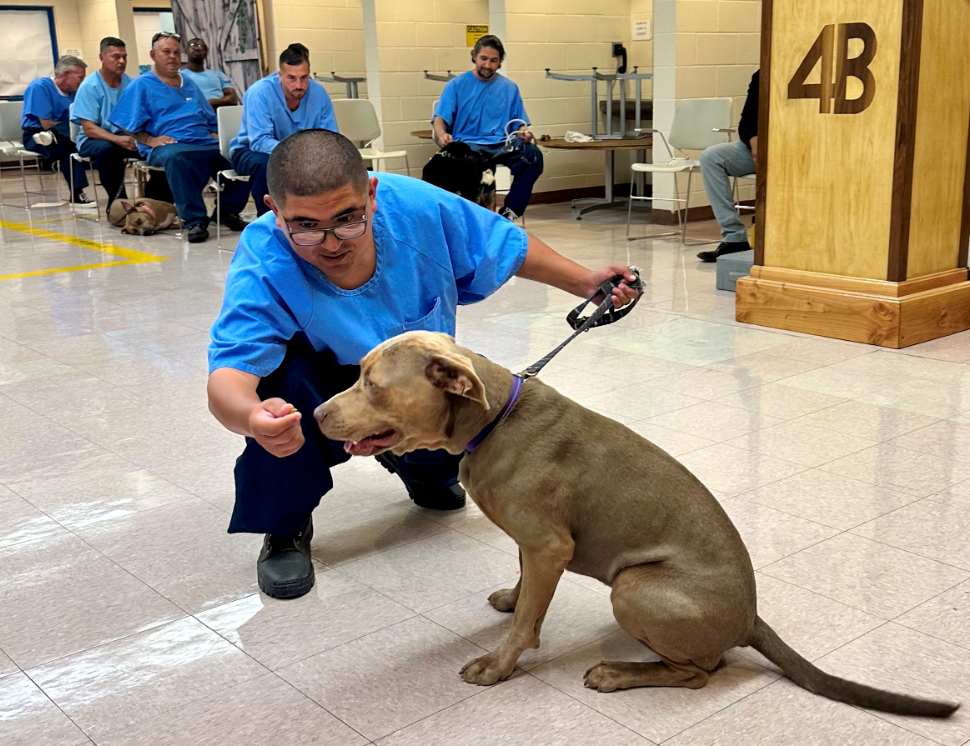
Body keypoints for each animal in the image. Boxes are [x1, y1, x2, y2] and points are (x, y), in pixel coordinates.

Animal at [316, 330, 952, 716]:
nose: (316, 412)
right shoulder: (533, 544)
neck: (493, 420)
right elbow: (523, 590)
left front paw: (498, 665)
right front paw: (511, 599)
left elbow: (525, 626)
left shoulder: (549, 545)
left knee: (700, 672)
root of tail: (750, 618)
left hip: (635, 587)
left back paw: (617, 673)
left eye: (371, 384)